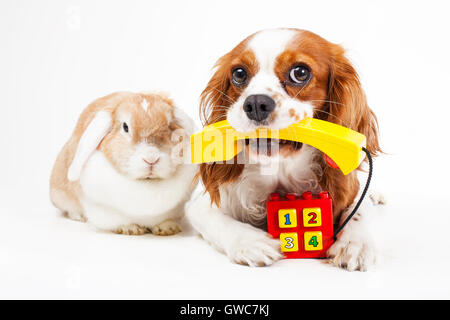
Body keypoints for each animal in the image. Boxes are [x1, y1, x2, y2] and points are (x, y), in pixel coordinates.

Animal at [49, 90, 197, 235]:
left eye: (169, 125)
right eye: (125, 127)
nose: (151, 158)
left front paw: (167, 228)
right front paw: (130, 229)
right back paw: (79, 217)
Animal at [185, 29, 382, 270]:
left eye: (300, 72)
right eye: (239, 74)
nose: (256, 104)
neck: (279, 171)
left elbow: (359, 210)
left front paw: (356, 243)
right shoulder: (199, 205)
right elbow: (214, 219)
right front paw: (250, 242)